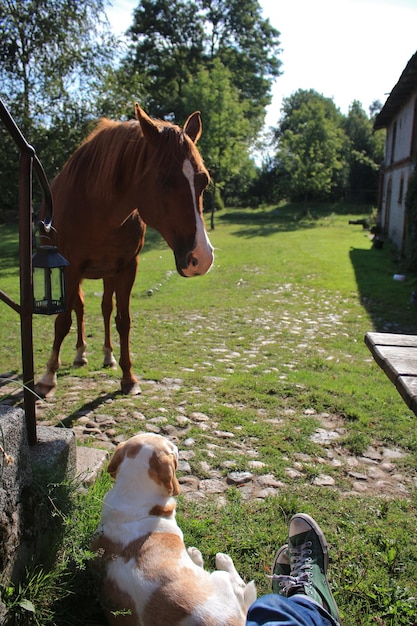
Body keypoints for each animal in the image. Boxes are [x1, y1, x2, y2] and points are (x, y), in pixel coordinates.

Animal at [35, 102, 214, 394]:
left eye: (204, 181)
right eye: (163, 181)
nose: (202, 257)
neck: (98, 209)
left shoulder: (127, 268)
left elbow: (123, 320)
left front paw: (128, 376)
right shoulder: (70, 268)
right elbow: (62, 320)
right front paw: (48, 376)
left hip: (108, 274)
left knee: (105, 308)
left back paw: (107, 356)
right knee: (78, 308)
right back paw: (79, 354)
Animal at [92, 432, 256, 624]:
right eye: (170, 447)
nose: (177, 445)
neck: (132, 494)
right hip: (220, 578)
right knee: (240, 584)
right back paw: (217, 559)